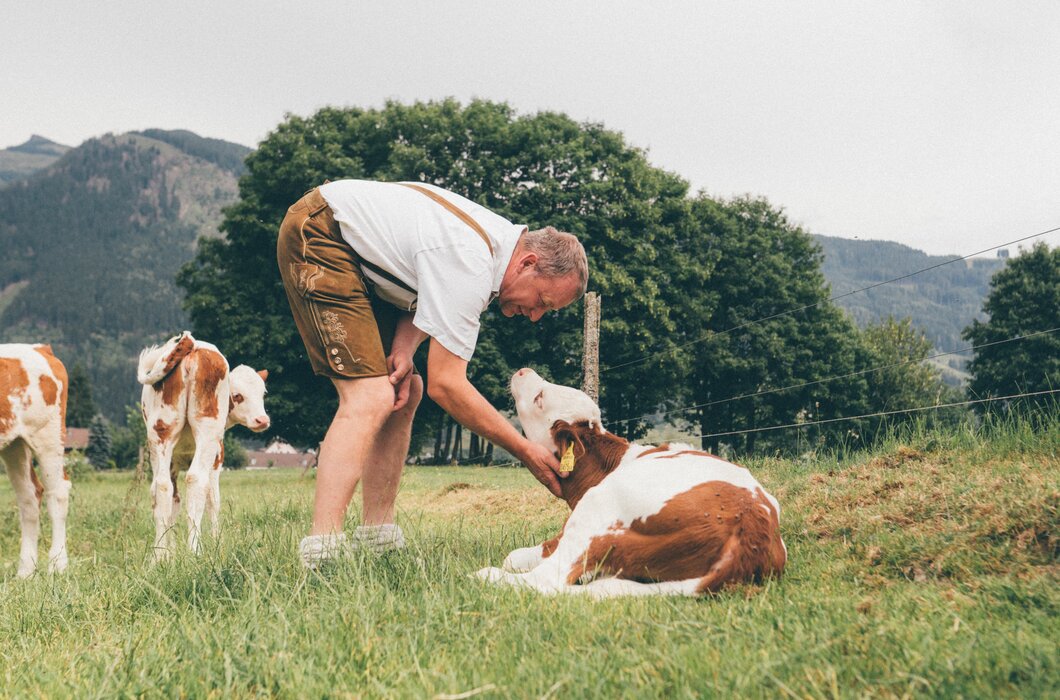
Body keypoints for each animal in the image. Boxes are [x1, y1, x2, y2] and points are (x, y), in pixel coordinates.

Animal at [0, 343, 71, 581]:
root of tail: (40, 348)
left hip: (48, 434)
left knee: (57, 492)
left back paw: (57, 565)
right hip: (14, 444)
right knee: (30, 496)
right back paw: (25, 571)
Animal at [136, 330, 271, 560]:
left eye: (262, 394)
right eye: (237, 396)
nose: (262, 420)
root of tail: (194, 347)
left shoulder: (170, 463)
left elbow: (171, 503)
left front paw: (168, 553)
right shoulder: (217, 458)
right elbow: (213, 500)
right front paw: (217, 543)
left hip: (161, 433)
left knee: (162, 486)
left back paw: (159, 554)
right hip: (207, 433)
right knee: (195, 479)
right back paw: (194, 551)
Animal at [476, 369, 784, 598]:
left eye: (540, 398)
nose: (523, 370)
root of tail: (751, 526)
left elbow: (514, 557)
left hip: (598, 508)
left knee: (548, 579)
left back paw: (484, 575)